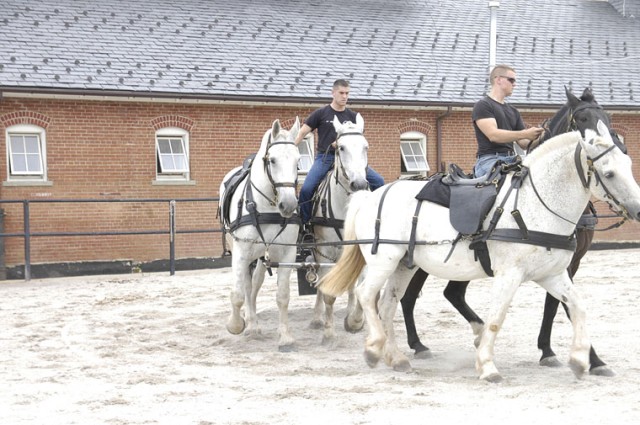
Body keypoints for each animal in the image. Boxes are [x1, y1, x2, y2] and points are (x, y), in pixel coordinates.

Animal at [219, 117, 302, 352]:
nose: (288, 204)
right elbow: (237, 294)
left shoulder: (286, 256)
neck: (266, 208)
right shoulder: (240, 253)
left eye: (297, 162)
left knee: (254, 286)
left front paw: (286, 337)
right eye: (272, 160)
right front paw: (235, 325)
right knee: (246, 288)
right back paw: (250, 324)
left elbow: (283, 296)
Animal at [306, 112, 370, 344]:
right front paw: (328, 332)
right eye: (340, 147)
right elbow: (328, 293)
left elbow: (359, 287)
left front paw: (355, 321)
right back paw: (317, 319)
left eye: (365, 147)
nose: (359, 184)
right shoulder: (325, 251)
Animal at [322, 121, 640, 382]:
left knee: (389, 304)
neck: (533, 206)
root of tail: (370, 195)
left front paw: (580, 359)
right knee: (366, 295)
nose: (638, 209)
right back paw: (374, 348)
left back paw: (396, 357)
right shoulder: (509, 275)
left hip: (405, 264)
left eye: (628, 163)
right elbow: (497, 319)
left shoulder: (552, 274)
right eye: (609, 173)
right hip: (383, 260)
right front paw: (487, 366)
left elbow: (577, 306)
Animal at [400, 86, 624, 374]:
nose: (616, 149)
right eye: (583, 119)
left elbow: (555, 305)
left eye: (607, 117)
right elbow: (565, 306)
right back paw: (418, 344)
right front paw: (592, 359)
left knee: (450, 294)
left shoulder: (566, 263)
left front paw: (548, 351)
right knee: (410, 298)